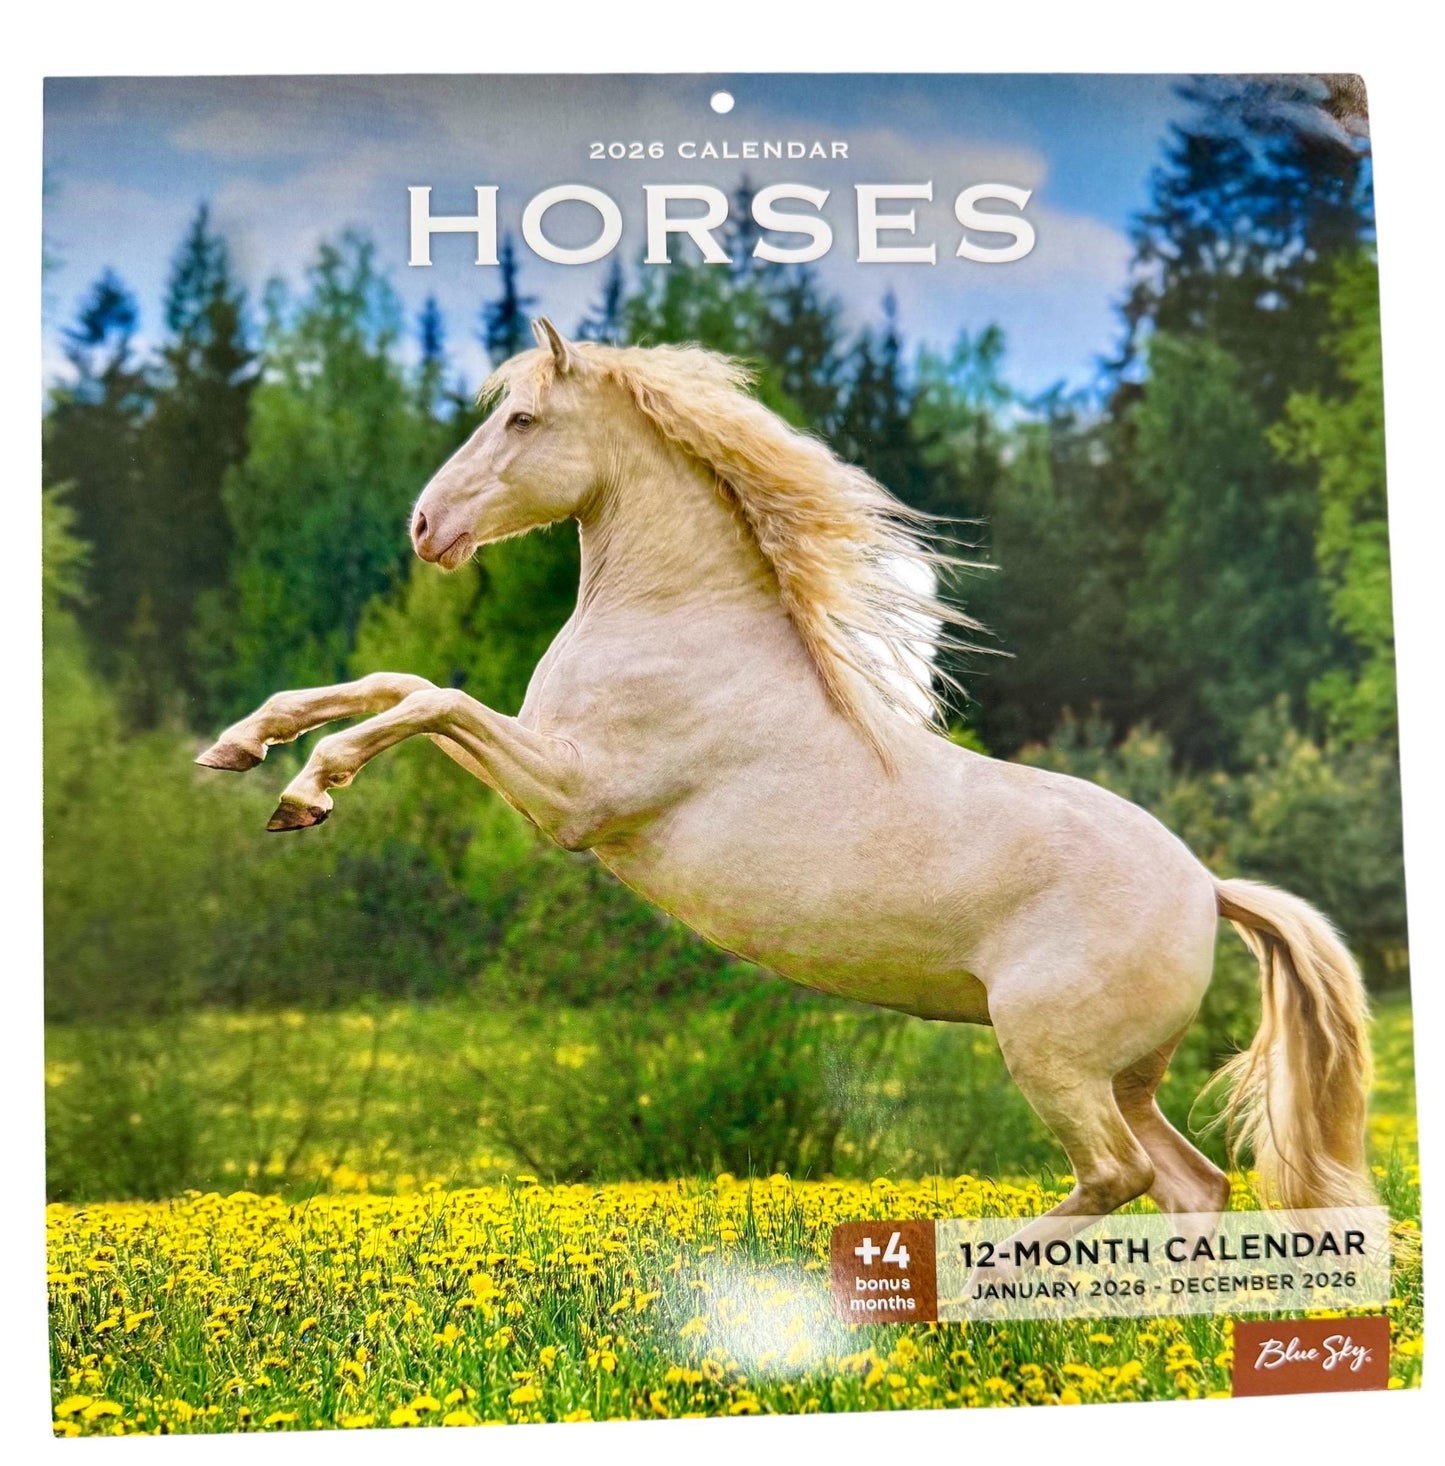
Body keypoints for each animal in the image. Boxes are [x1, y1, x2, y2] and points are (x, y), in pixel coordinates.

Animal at [197, 318, 1375, 1224]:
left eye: (520, 420)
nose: (425, 526)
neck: (680, 622)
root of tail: (1207, 888)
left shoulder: (573, 798)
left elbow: (429, 699)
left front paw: (306, 793)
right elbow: (397, 679)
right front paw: (242, 744)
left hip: (1053, 1057)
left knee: (1117, 1177)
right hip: (1121, 1076)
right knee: (1190, 1185)